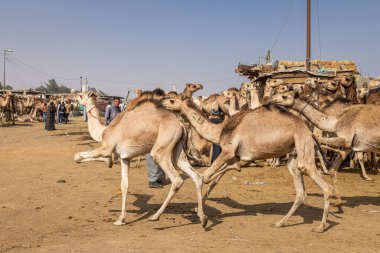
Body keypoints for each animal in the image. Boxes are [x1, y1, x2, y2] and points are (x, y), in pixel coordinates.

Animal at [72, 99, 206, 227]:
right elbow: (124, 185)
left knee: (177, 180)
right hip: (179, 152)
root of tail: (181, 125)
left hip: (161, 150)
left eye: (80, 96)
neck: (104, 131)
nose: (75, 104)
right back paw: (202, 217)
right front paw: (120, 220)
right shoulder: (125, 158)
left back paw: (155, 216)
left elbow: (77, 156)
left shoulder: (106, 148)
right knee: (196, 176)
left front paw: (108, 161)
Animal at [163, 98, 332, 232]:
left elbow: (206, 176)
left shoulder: (228, 151)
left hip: (303, 144)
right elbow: (215, 179)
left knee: (324, 185)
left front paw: (199, 211)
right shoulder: (233, 155)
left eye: (172, 99)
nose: (163, 103)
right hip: (294, 154)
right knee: (301, 191)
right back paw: (279, 223)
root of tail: (309, 131)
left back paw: (320, 227)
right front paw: (196, 208)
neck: (220, 130)